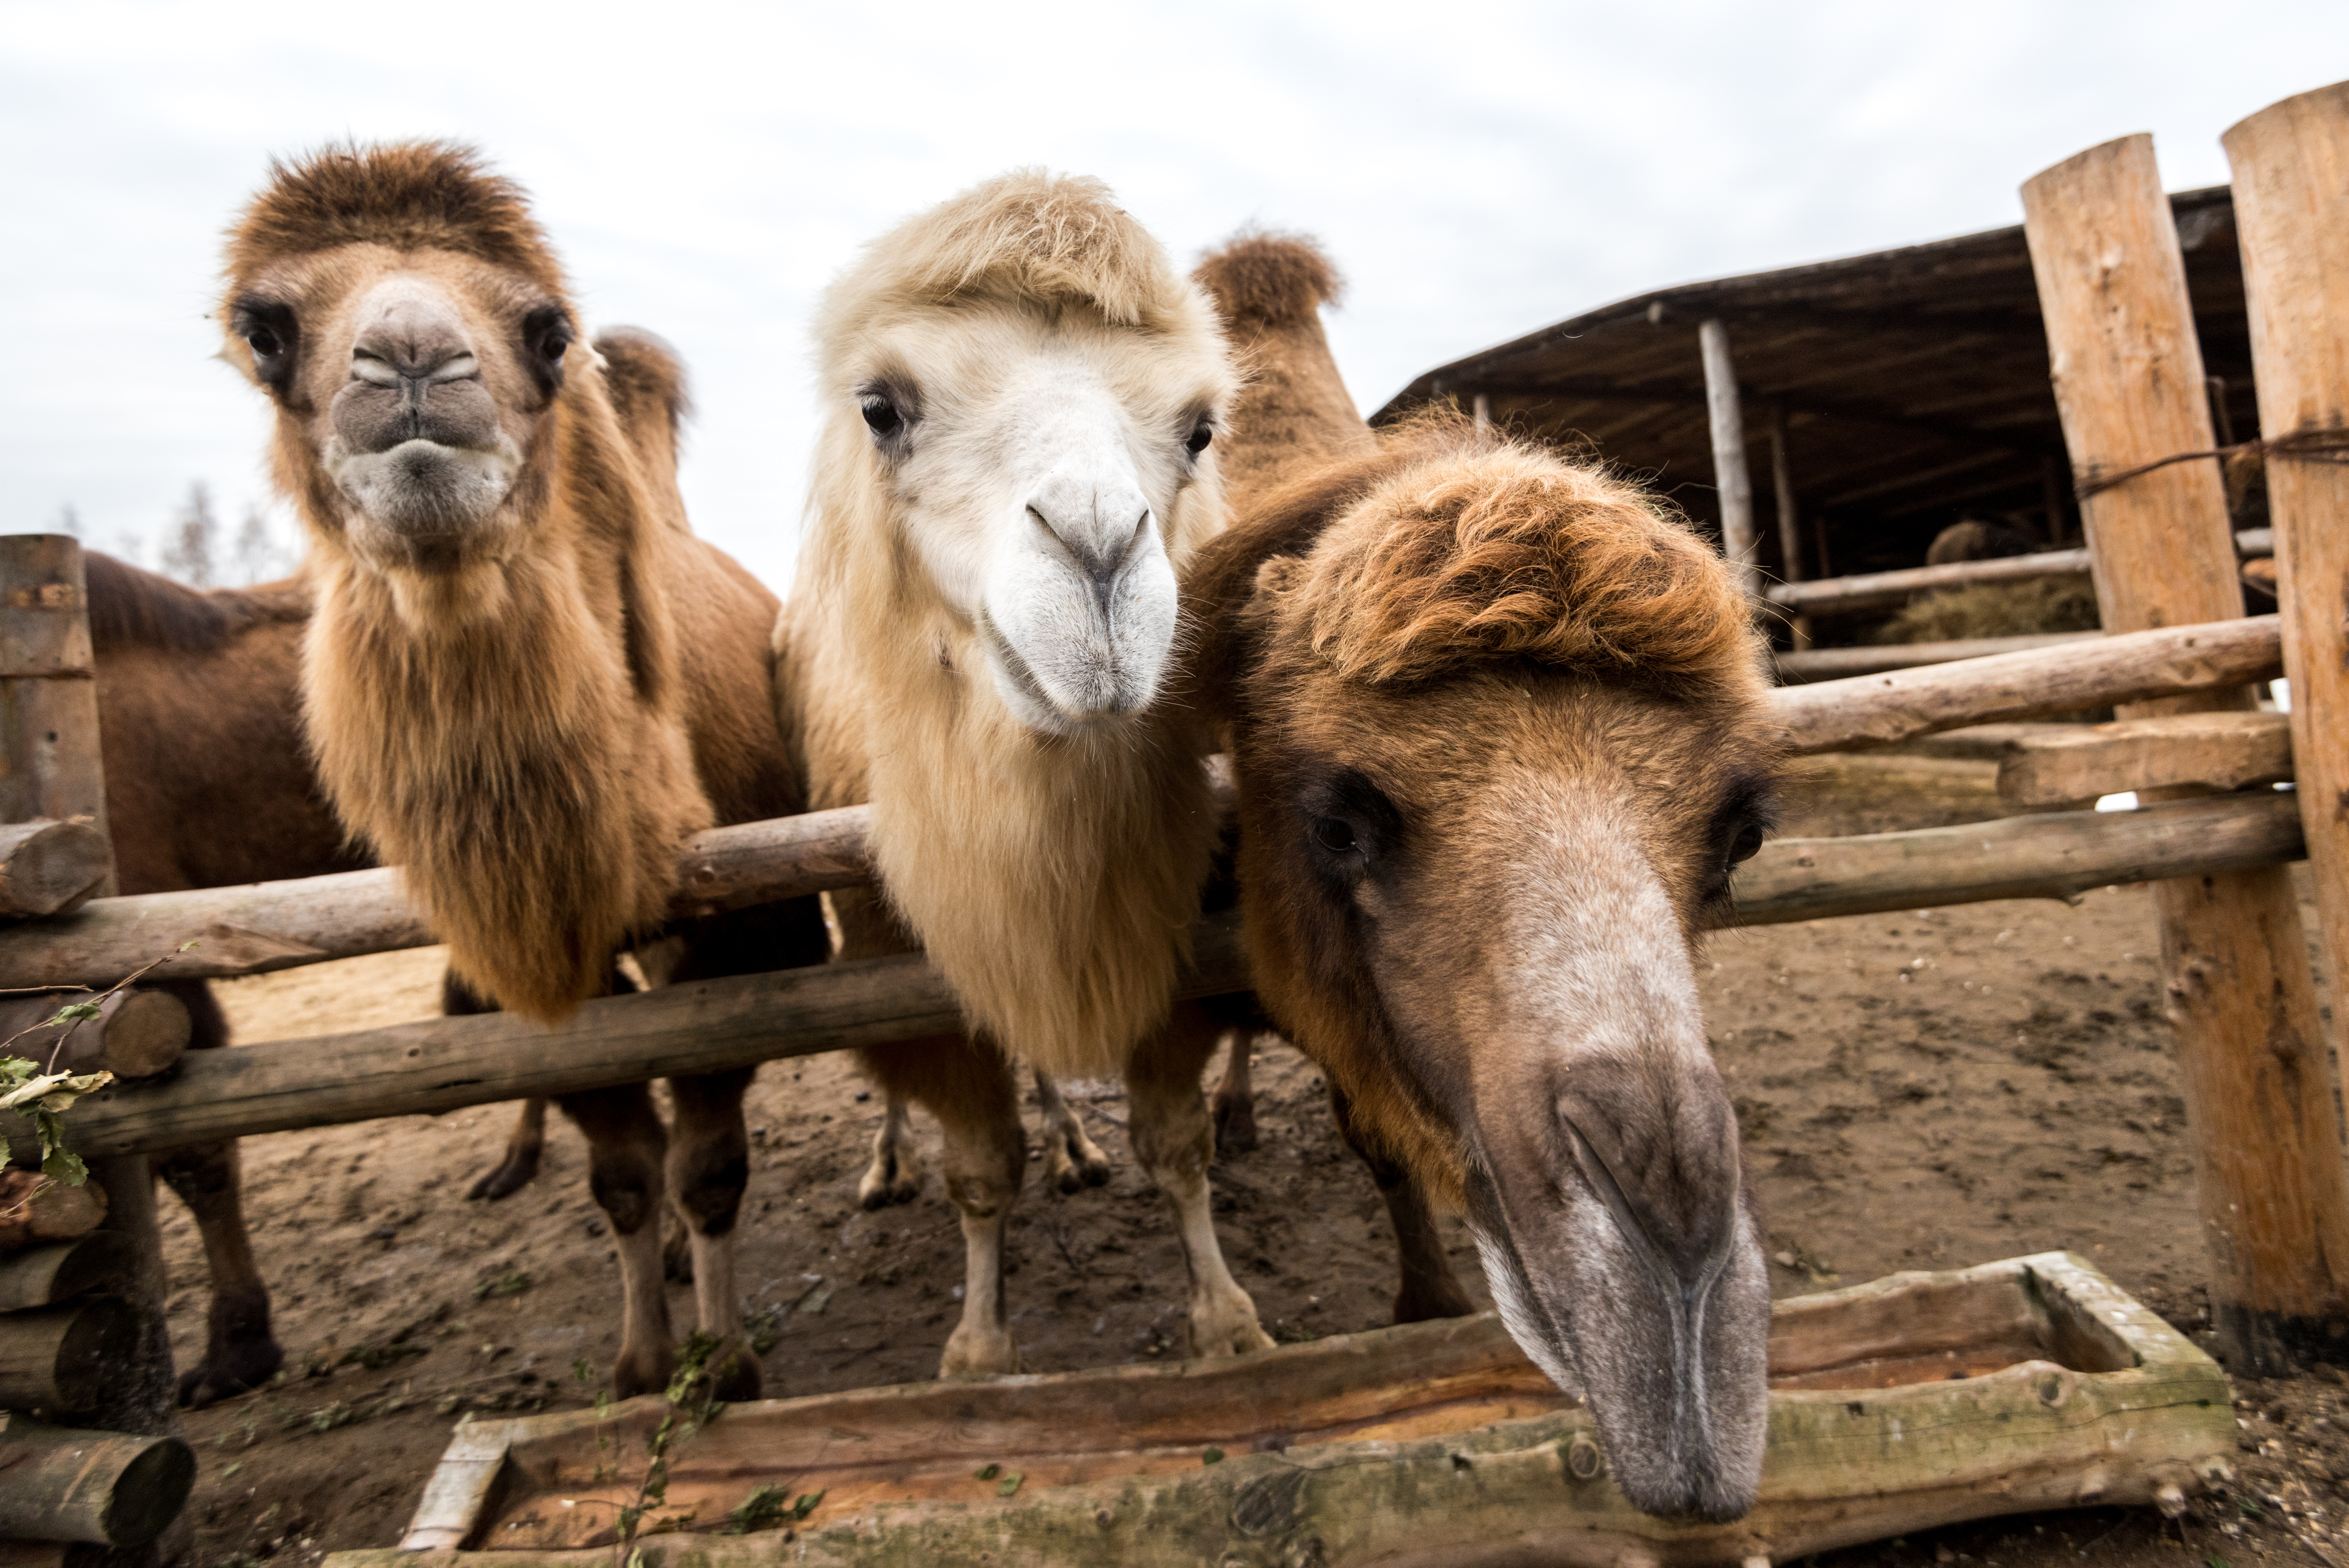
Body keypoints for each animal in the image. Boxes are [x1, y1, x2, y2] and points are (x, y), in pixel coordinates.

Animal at [221, 144, 827, 1401]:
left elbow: (707, 1166)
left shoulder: (757, 940)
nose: (411, 360)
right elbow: (626, 1174)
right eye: (263, 331)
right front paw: (643, 1363)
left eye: (548, 331)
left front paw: (726, 1366)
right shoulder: (543, 981)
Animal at [780, 175, 1278, 1373]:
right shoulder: (918, 974)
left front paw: (1226, 1320)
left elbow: (1176, 1143)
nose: (1097, 554)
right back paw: (886, 1163)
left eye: (1200, 429)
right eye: (882, 408)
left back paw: (1072, 1142)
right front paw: (977, 1348)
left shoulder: (1160, 952)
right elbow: (977, 1172)